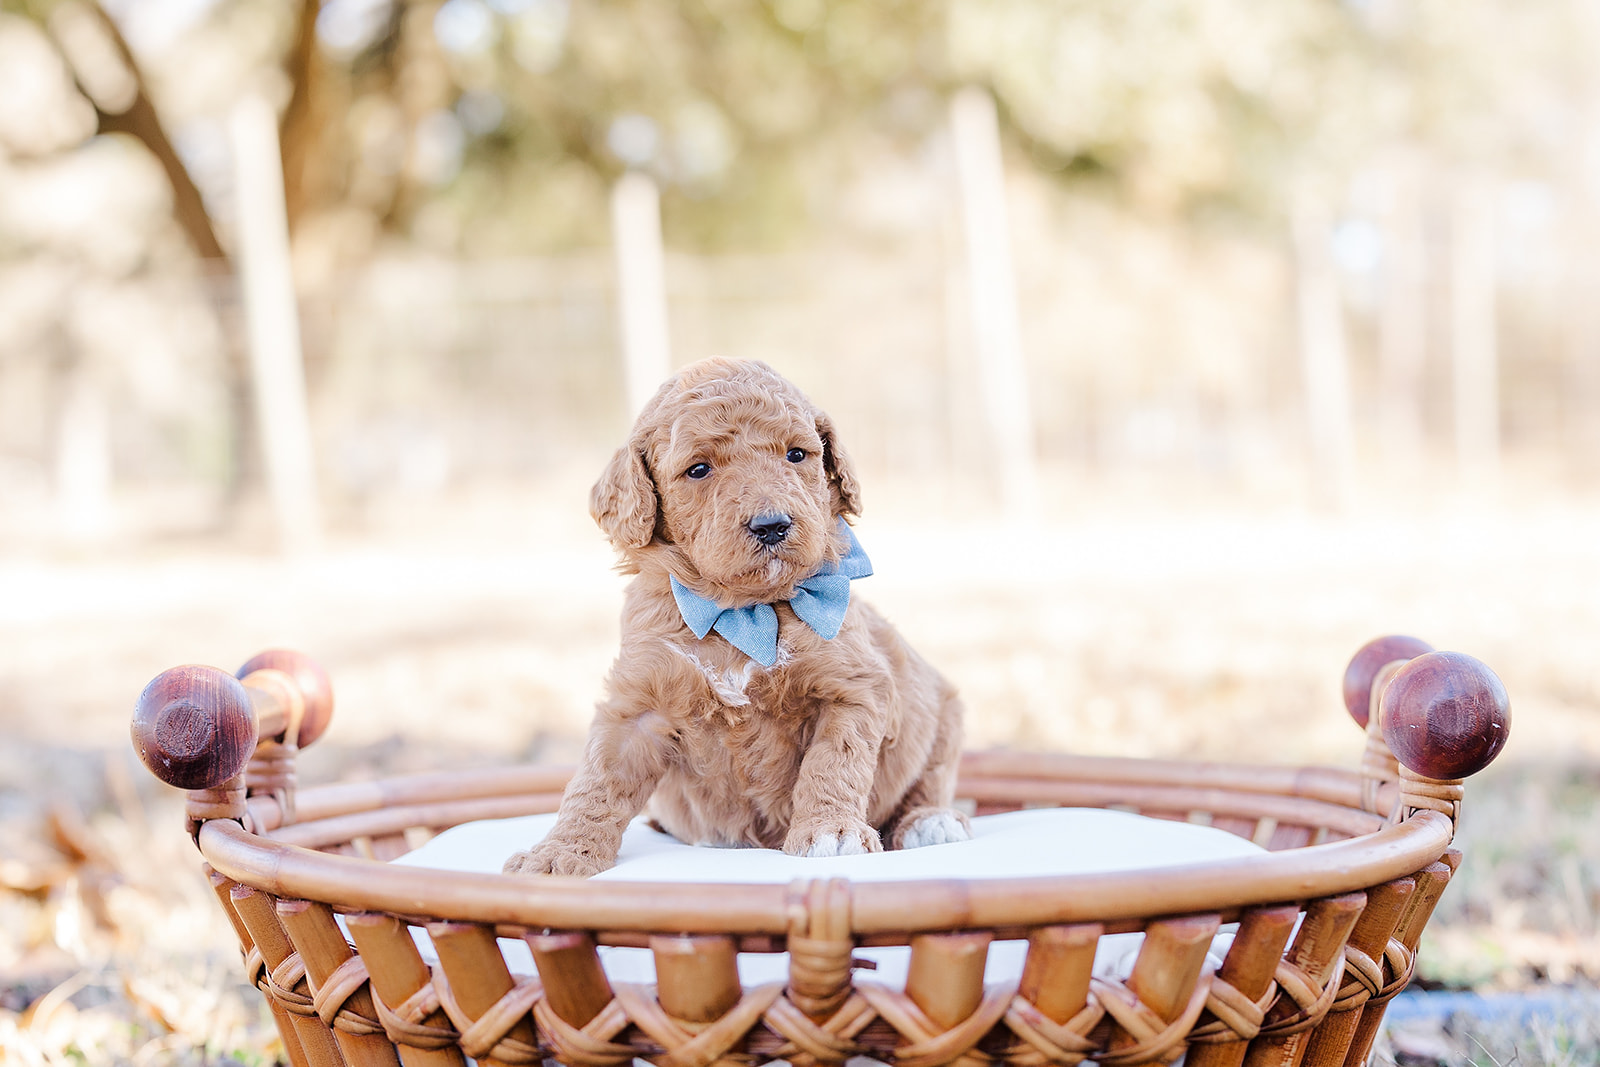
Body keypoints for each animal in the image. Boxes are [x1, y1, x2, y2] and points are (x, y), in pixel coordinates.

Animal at [505, 358, 966, 876]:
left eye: (797, 455)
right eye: (698, 469)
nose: (772, 526)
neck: (744, 613)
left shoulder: (852, 688)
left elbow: (833, 763)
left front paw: (831, 832)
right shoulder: (637, 703)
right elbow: (596, 782)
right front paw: (558, 854)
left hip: (942, 714)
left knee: (928, 783)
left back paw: (931, 821)